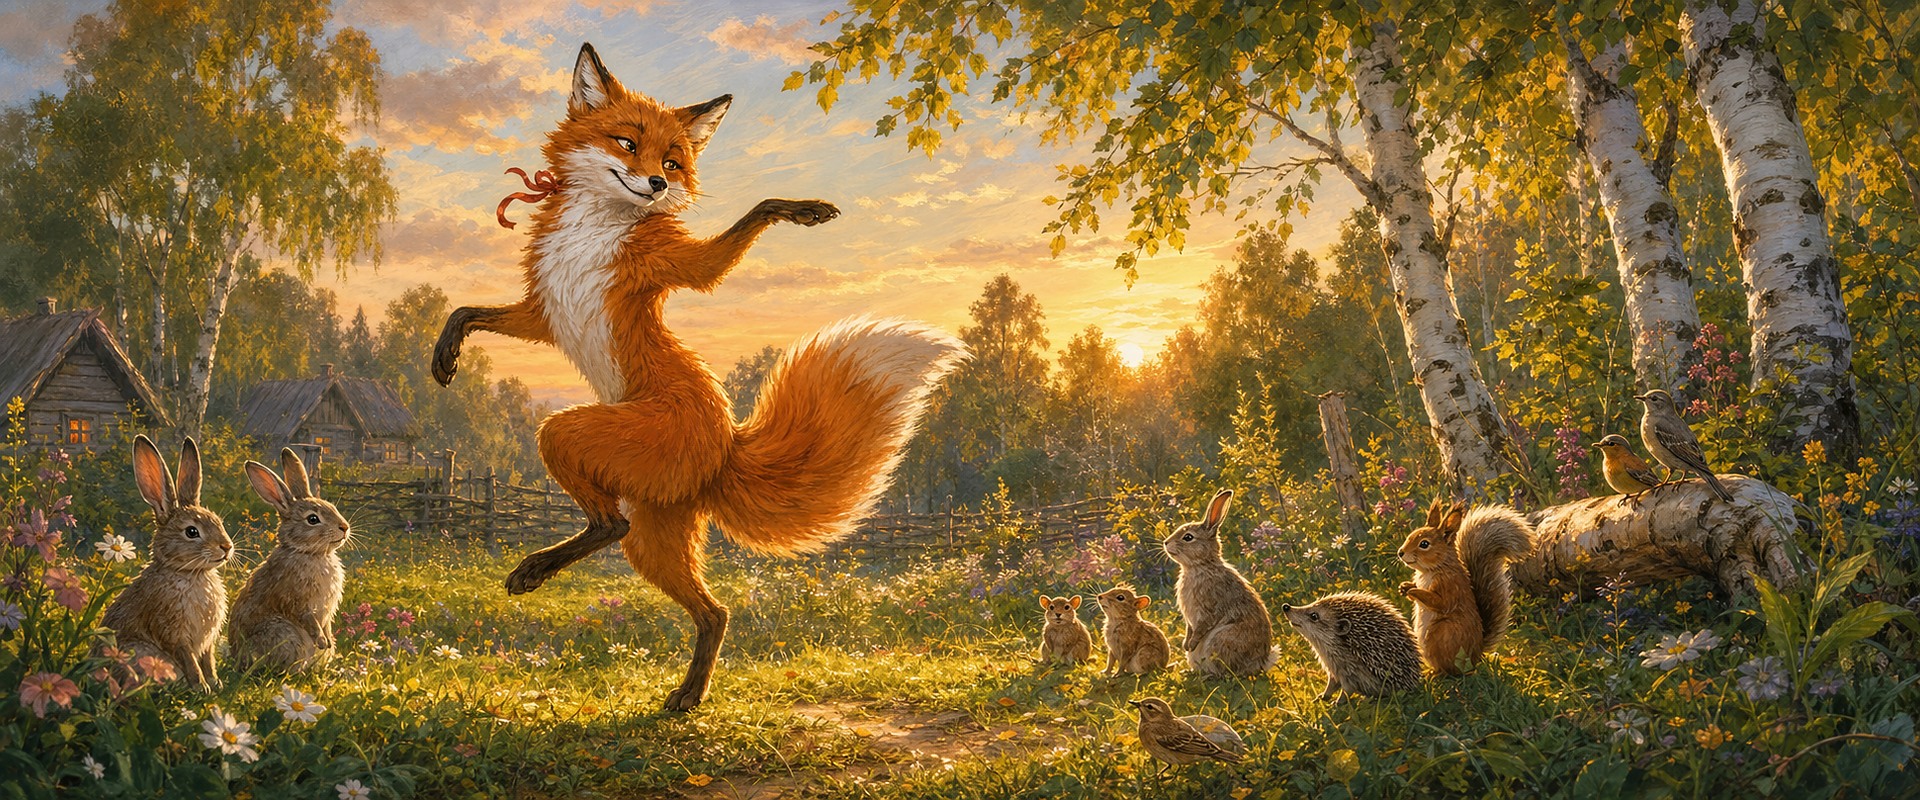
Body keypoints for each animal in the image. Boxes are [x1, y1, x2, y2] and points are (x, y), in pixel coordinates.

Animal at [431, 43, 967, 712]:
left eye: (672, 161)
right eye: (627, 143)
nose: (659, 184)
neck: (594, 226)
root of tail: (725, 450)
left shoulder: (663, 265)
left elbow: (736, 235)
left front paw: (797, 209)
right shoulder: (544, 311)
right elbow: (467, 311)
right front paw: (444, 355)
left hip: (580, 440)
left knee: (619, 529)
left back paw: (551, 580)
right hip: (654, 541)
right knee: (709, 607)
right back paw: (682, 690)